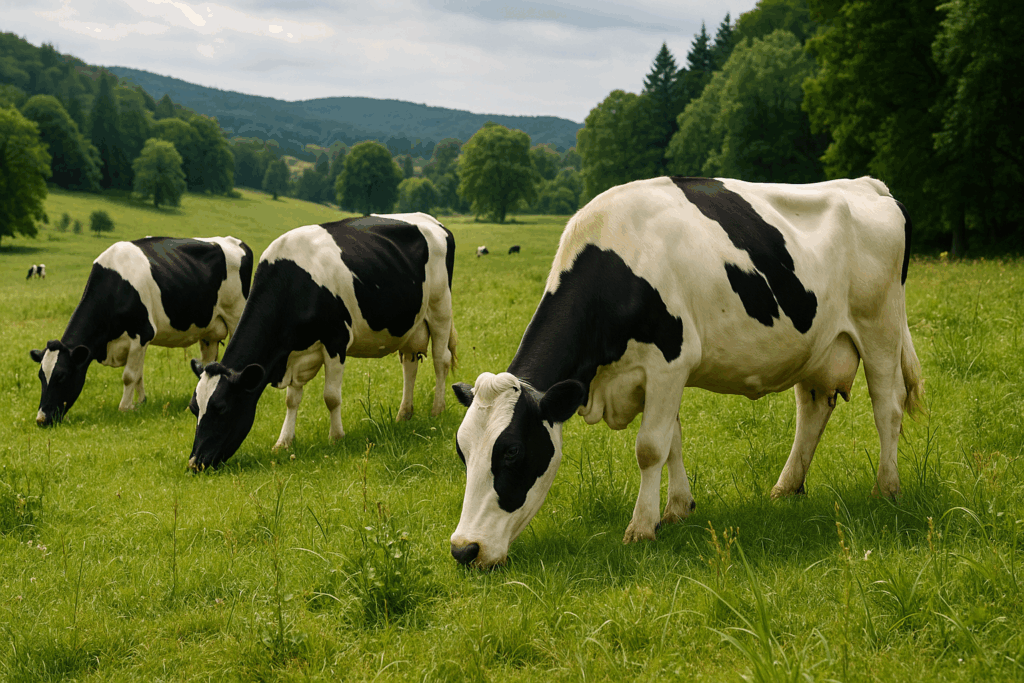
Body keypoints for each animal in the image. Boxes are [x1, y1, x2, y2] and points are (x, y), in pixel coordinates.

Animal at [30, 236, 253, 426]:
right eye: (41, 376)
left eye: (61, 376)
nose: (42, 419)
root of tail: (236, 241)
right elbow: (138, 374)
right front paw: (140, 403)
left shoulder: (141, 335)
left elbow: (129, 375)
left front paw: (124, 408)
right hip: (208, 330)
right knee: (207, 361)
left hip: (236, 314)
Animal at [187, 213, 458, 470]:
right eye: (193, 408)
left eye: (221, 408)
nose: (195, 463)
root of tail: (432, 221)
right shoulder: (295, 353)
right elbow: (292, 399)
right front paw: (283, 442)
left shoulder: (336, 341)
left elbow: (331, 397)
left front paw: (336, 437)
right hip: (411, 324)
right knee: (409, 366)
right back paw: (403, 415)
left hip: (440, 307)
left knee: (440, 360)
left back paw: (437, 409)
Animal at [449, 176, 923, 568]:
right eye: (462, 451)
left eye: (511, 451)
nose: (464, 550)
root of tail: (866, 185)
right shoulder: (660, 377)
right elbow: (673, 440)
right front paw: (677, 509)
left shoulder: (668, 363)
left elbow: (650, 447)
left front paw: (641, 528)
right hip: (817, 345)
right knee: (812, 411)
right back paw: (786, 488)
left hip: (879, 327)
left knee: (887, 406)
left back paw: (887, 488)